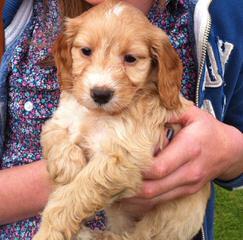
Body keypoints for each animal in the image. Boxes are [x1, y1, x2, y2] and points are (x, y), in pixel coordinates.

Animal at [33, 0, 210, 239]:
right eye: (86, 51)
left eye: (130, 59)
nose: (100, 94)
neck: (97, 114)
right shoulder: (62, 117)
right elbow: (52, 136)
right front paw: (67, 168)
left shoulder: (123, 157)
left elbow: (76, 194)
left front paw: (49, 231)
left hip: (166, 220)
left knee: (134, 236)